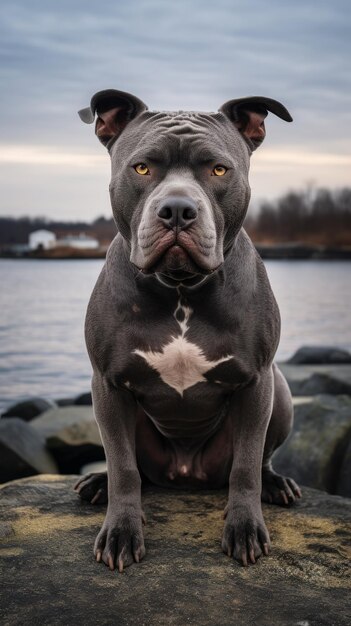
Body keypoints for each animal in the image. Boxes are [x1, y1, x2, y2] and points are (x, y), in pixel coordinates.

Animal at [74, 88, 302, 572]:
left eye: (218, 169)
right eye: (142, 167)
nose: (177, 209)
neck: (180, 287)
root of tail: (185, 473)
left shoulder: (257, 381)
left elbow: (246, 465)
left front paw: (244, 527)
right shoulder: (107, 384)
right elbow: (123, 466)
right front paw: (121, 530)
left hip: (281, 391)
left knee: (260, 461)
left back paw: (276, 484)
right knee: (135, 469)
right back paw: (97, 482)